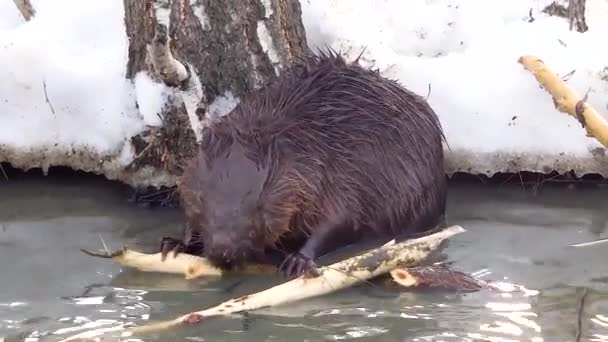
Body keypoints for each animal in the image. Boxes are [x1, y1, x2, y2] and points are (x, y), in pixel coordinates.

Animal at [159, 50, 448, 278]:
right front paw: (174, 244)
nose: (223, 250)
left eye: (259, 204)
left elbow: (342, 218)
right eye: (204, 198)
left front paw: (298, 261)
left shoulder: (342, 171)